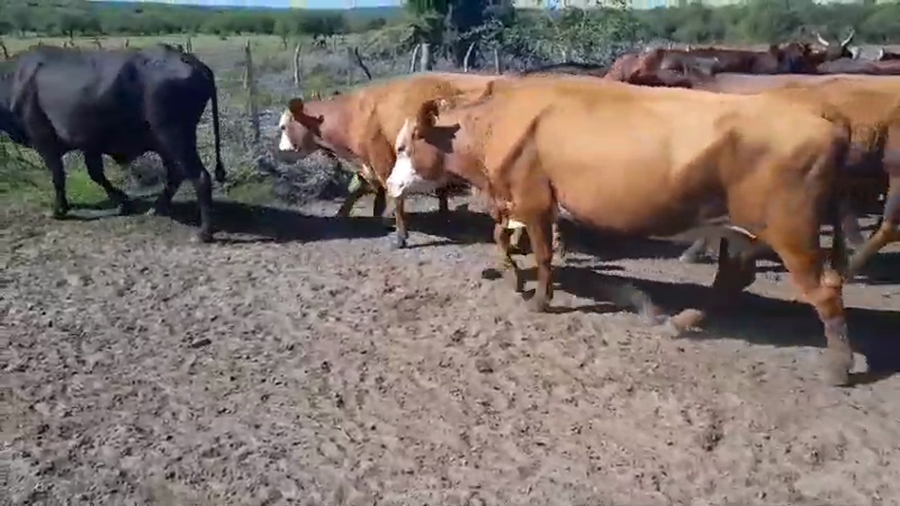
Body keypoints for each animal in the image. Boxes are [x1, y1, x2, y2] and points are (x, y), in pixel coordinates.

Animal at [0, 44, 225, 243]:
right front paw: (123, 203)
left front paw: (58, 210)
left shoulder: (45, 142)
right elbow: (96, 174)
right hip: (166, 143)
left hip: (175, 137)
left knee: (200, 176)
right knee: (176, 174)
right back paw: (157, 208)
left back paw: (203, 233)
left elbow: (58, 178)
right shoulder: (90, 145)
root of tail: (191, 61)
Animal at [385, 74, 857, 386]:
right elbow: (503, 238)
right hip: (739, 229)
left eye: (403, 146)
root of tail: (823, 117)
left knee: (825, 290)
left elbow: (542, 254)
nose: (389, 185)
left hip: (792, 231)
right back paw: (679, 322)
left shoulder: (535, 202)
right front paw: (511, 277)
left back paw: (839, 367)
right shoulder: (518, 205)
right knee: (732, 279)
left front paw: (538, 299)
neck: (497, 124)